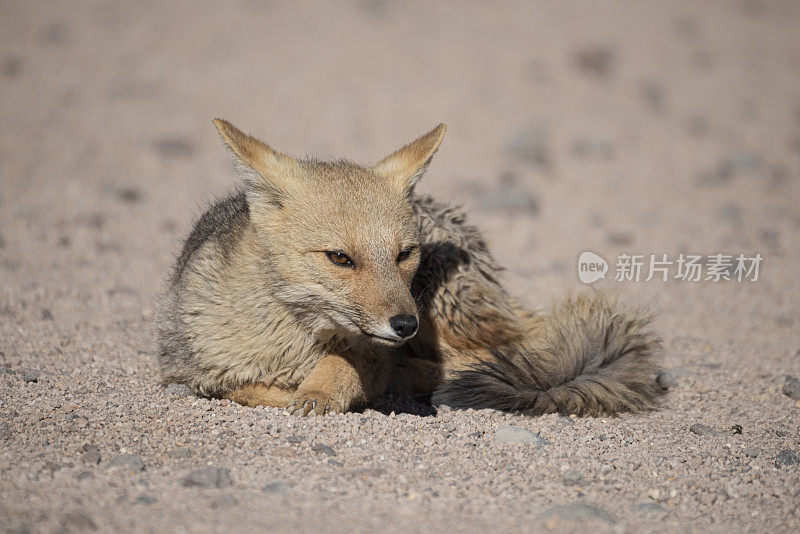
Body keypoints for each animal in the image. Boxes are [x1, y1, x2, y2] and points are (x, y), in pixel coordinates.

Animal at [155, 121, 664, 418]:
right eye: (340, 258)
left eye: (403, 254)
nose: (404, 324)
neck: (292, 344)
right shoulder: (192, 369)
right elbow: (240, 389)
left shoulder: (372, 351)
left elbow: (343, 370)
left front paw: (324, 391)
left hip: (451, 309)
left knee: (498, 357)